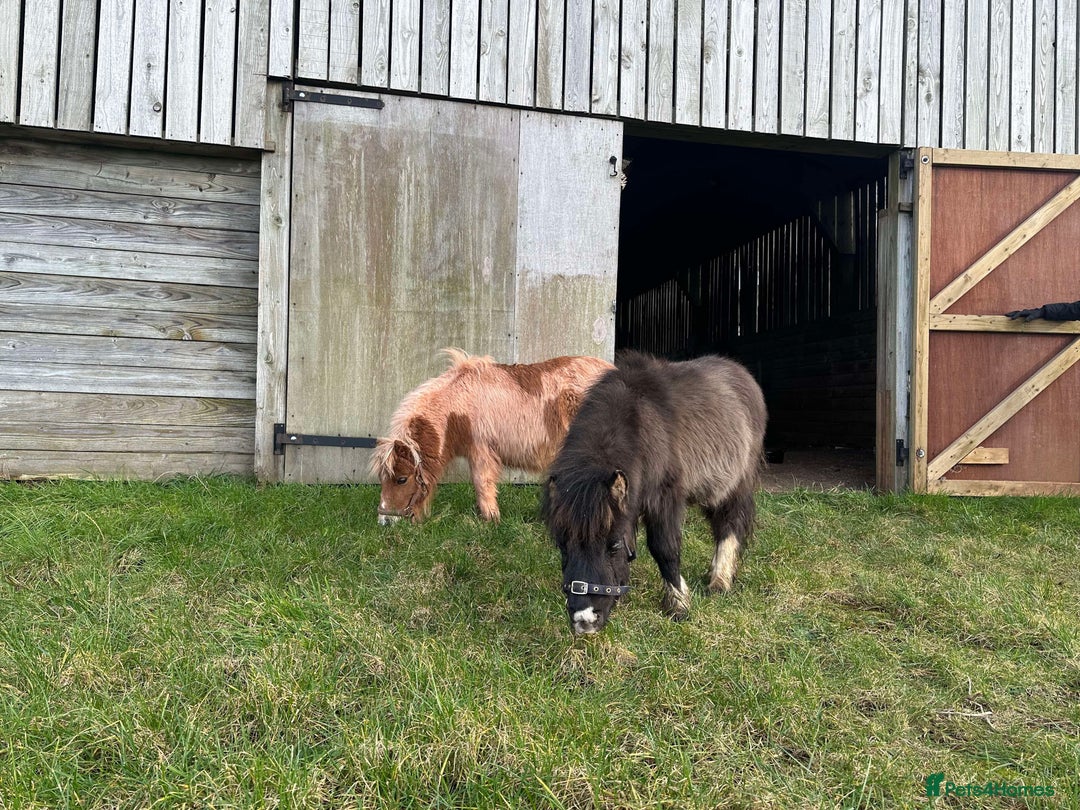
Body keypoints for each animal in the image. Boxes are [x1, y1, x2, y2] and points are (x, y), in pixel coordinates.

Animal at [371, 349, 614, 525]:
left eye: (402, 479)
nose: (385, 521)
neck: (458, 405)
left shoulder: (481, 451)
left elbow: (482, 484)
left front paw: (490, 521)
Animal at [541, 352, 766, 635]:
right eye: (562, 545)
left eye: (613, 544)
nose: (585, 620)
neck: (638, 430)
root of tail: (743, 375)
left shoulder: (665, 500)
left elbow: (664, 548)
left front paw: (679, 604)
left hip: (735, 485)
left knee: (729, 525)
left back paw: (719, 582)